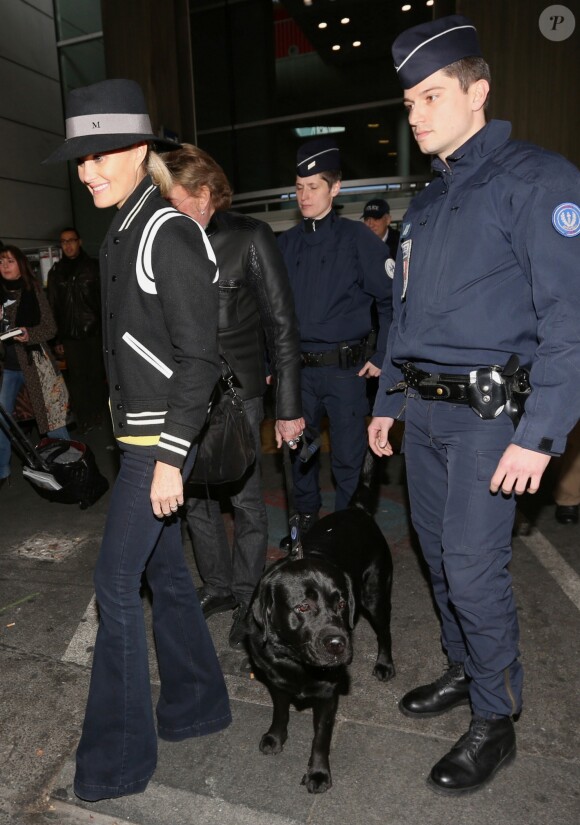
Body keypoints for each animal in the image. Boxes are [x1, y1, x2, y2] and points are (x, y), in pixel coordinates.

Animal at [245, 450, 394, 792]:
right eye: (302, 607)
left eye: (341, 603)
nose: (338, 643)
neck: (295, 659)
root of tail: (357, 510)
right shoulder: (275, 680)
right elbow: (280, 711)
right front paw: (276, 737)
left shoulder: (328, 695)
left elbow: (321, 738)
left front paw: (318, 772)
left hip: (375, 596)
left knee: (385, 632)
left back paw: (384, 663)